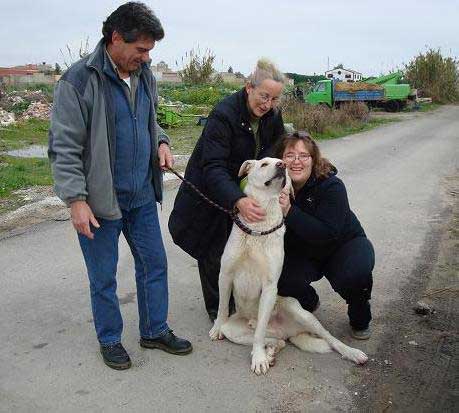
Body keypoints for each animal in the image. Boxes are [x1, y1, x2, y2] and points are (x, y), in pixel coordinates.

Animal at [210, 157, 368, 374]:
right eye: (264, 164)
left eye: (281, 162)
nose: (282, 165)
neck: (259, 228)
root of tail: (287, 331)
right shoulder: (225, 274)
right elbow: (222, 308)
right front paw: (216, 328)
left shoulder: (269, 287)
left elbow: (259, 332)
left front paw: (258, 359)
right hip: (234, 330)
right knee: (277, 341)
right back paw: (270, 352)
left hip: (300, 312)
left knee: (327, 338)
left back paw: (352, 352)